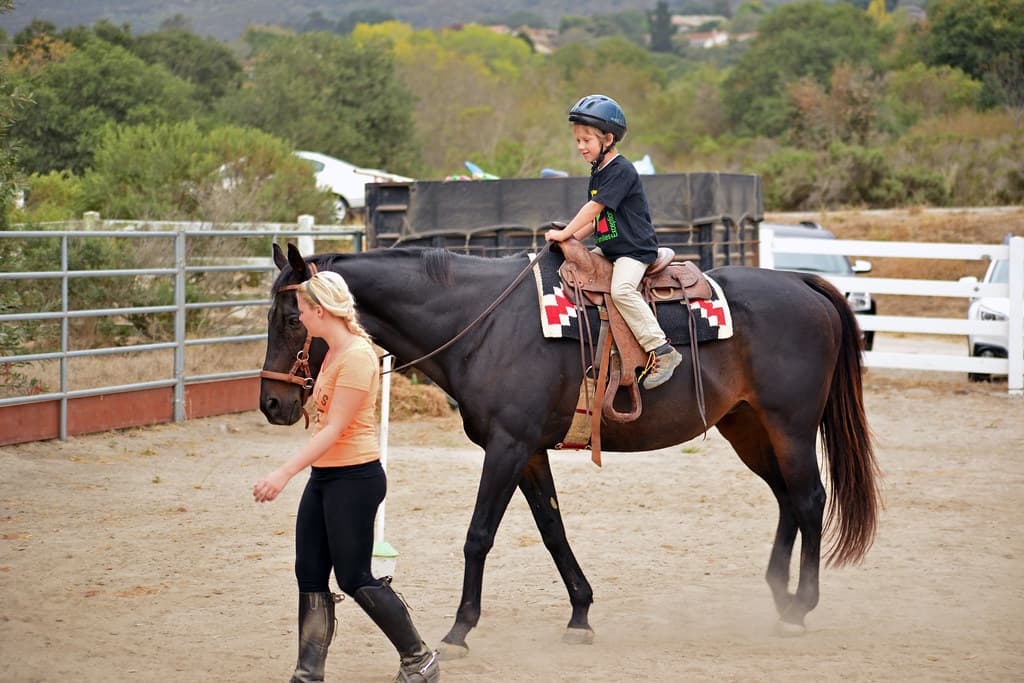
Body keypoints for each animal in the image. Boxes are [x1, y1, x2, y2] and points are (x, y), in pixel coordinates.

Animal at [259, 241, 880, 657]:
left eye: (292, 318)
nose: (271, 403)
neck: (484, 323)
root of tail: (803, 284)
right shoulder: (530, 452)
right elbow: (553, 531)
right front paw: (580, 612)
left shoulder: (507, 448)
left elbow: (479, 535)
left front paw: (460, 629)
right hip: (748, 429)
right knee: (787, 499)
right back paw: (779, 592)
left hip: (789, 427)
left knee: (809, 500)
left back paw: (800, 606)